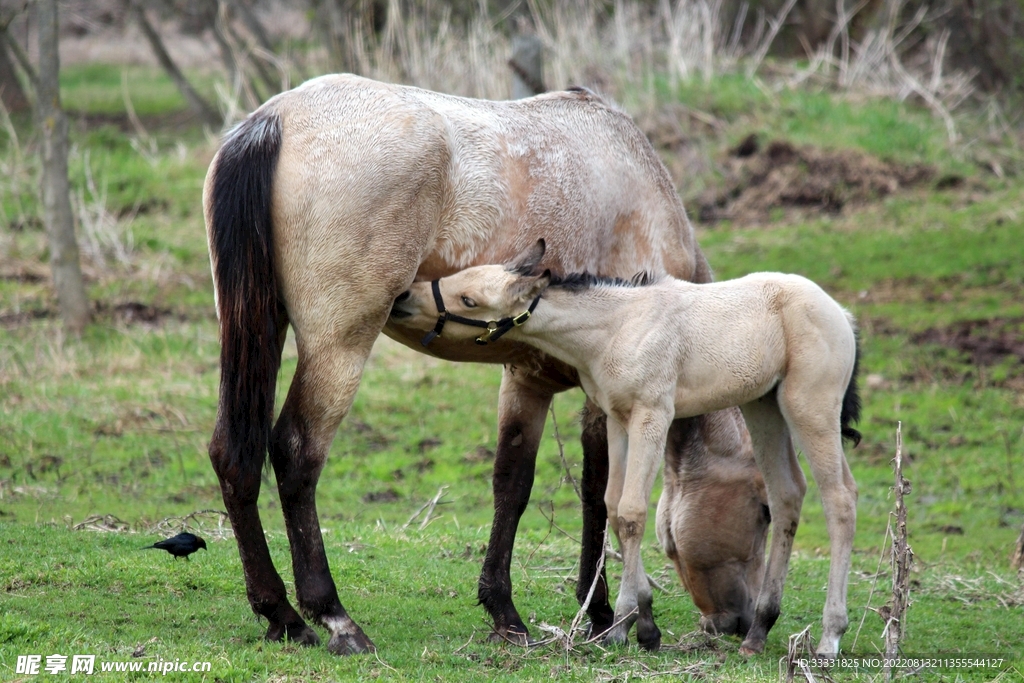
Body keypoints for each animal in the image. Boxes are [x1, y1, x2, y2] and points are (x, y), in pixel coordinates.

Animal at [202, 73, 765, 655]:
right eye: (764, 512)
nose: (743, 620)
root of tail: (276, 118)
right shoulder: (607, 398)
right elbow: (598, 493)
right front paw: (603, 613)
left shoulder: (528, 380)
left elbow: (511, 485)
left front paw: (504, 611)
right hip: (338, 346)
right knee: (296, 454)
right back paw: (333, 616)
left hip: (257, 328)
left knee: (235, 457)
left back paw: (280, 614)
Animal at [389, 239, 861, 656]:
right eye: (457, 277)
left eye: (468, 299)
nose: (403, 297)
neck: (617, 327)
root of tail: (841, 313)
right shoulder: (617, 420)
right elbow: (613, 507)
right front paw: (630, 624)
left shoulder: (652, 416)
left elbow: (633, 512)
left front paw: (632, 627)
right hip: (763, 407)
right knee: (787, 496)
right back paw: (758, 632)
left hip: (810, 407)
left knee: (840, 498)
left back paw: (829, 638)